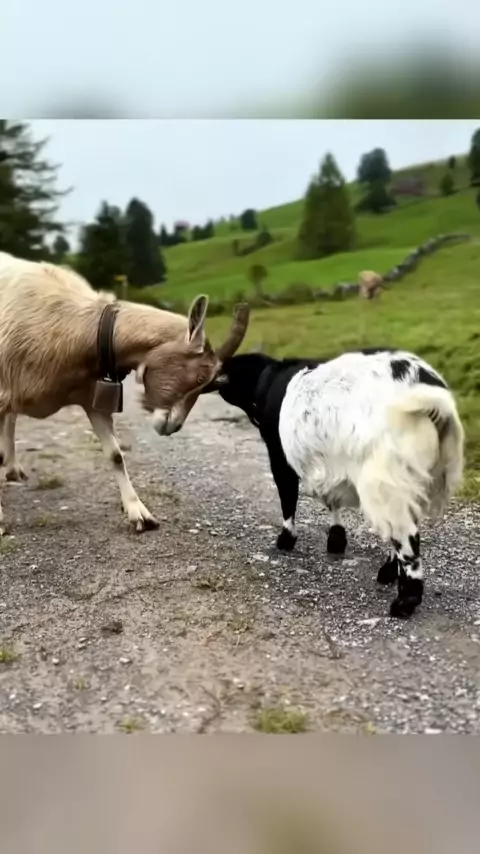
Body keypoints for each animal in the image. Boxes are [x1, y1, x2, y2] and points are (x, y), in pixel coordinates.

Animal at [0, 251, 249, 534]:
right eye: (199, 378)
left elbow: (116, 455)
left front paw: (139, 513)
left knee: (11, 418)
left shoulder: (92, 398)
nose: (173, 426)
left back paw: (12, 468)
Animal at [202, 348, 464, 618]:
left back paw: (404, 601)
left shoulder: (279, 454)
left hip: (384, 479)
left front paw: (286, 540)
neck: (270, 380)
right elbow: (331, 499)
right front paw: (336, 539)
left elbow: (287, 496)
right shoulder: (329, 462)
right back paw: (389, 573)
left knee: (405, 534)